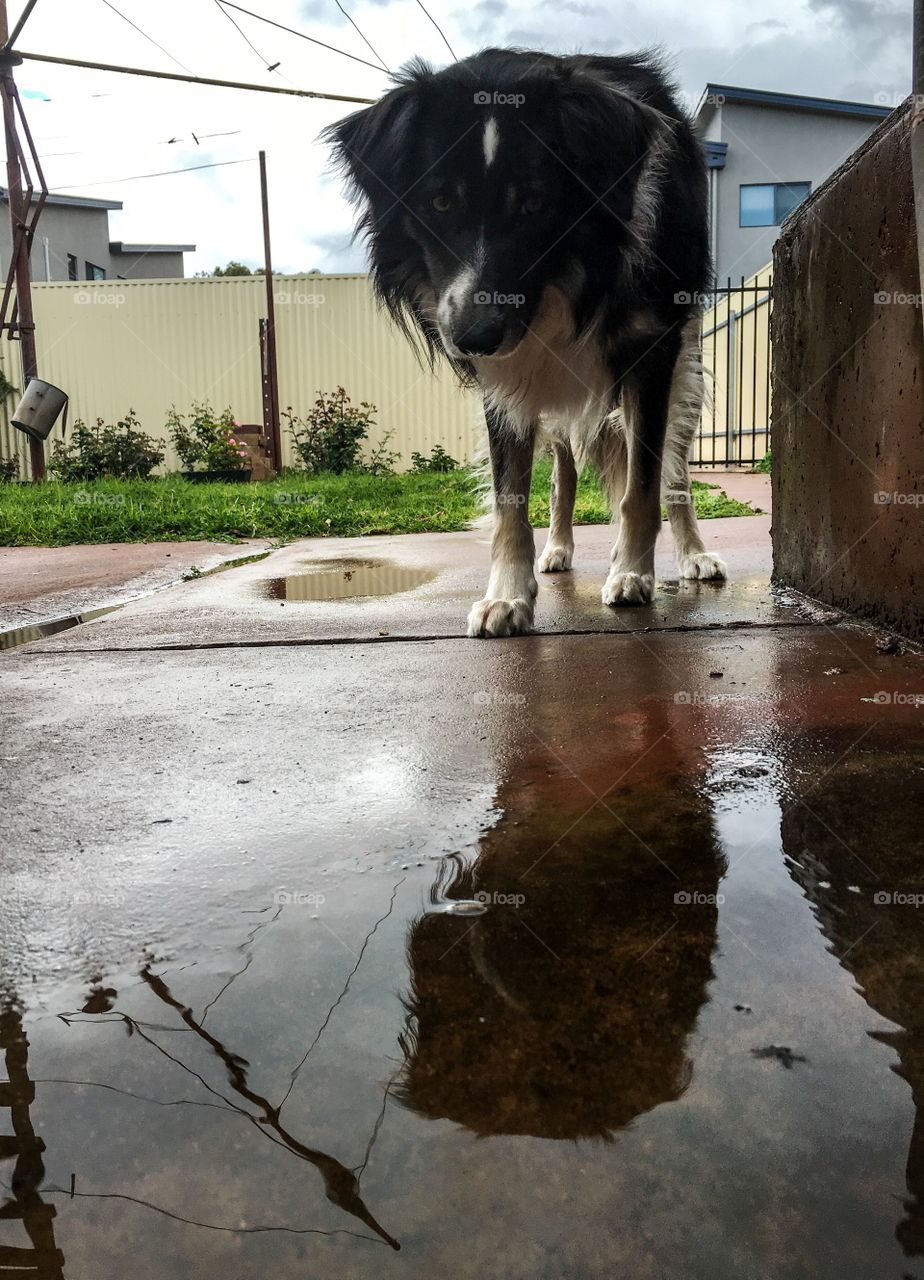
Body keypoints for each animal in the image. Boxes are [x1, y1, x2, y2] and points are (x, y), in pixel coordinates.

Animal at [327, 47, 721, 637]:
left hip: (685, 366)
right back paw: (557, 549)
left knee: (674, 471)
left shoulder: (651, 352)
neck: (567, 282)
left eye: (535, 204)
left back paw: (693, 554)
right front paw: (507, 596)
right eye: (440, 203)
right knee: (562, 474)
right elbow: (510, 499)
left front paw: (632, 574)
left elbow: (643, 486)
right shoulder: (504, 380)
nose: (473, 339)